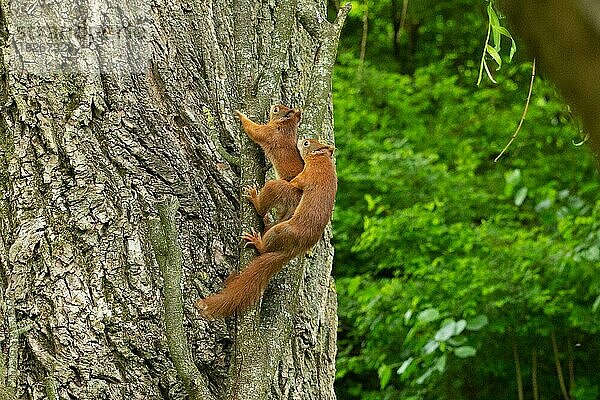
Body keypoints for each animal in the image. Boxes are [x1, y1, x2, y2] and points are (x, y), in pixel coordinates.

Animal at [197, 139, 338, 318]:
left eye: (306, 143)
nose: (300, 139)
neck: (323, 162)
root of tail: (295, 249)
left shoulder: (305, 177)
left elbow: (293, 182)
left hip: (280, 228)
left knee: (264, 244)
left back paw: (257, 224)